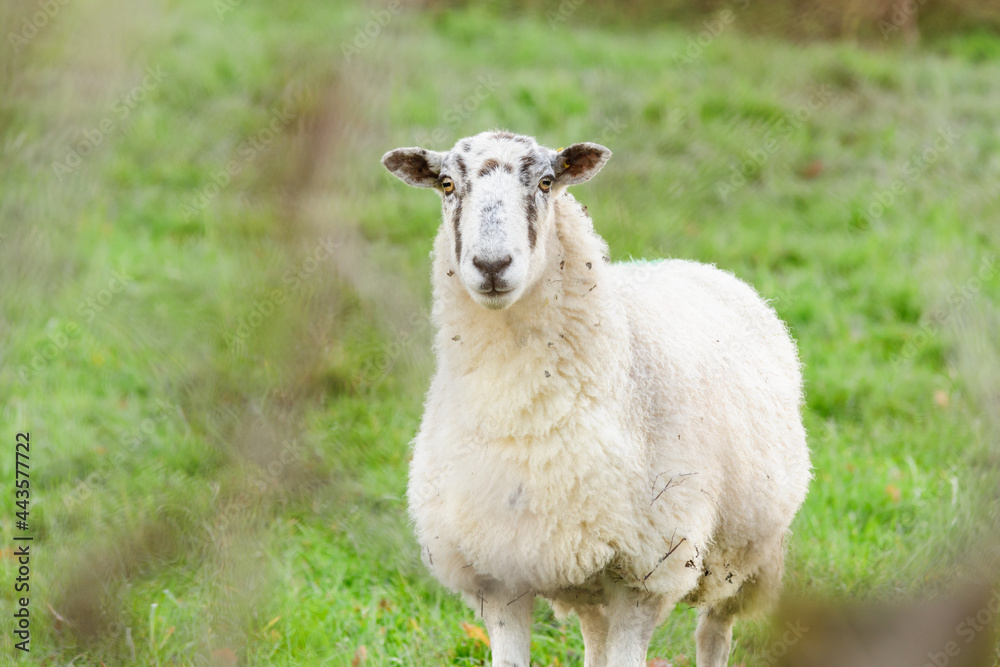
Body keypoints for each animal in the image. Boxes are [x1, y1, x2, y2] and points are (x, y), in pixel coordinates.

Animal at [381, 130, 811, 667]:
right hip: (587, 577)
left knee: (714, 632)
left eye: (546, 182)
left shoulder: (644, 574)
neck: (523, 415)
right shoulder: (498, 575)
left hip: (747, 556)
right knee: (595, 637)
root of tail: (696, 265)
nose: (492, 265)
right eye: (445, 183)